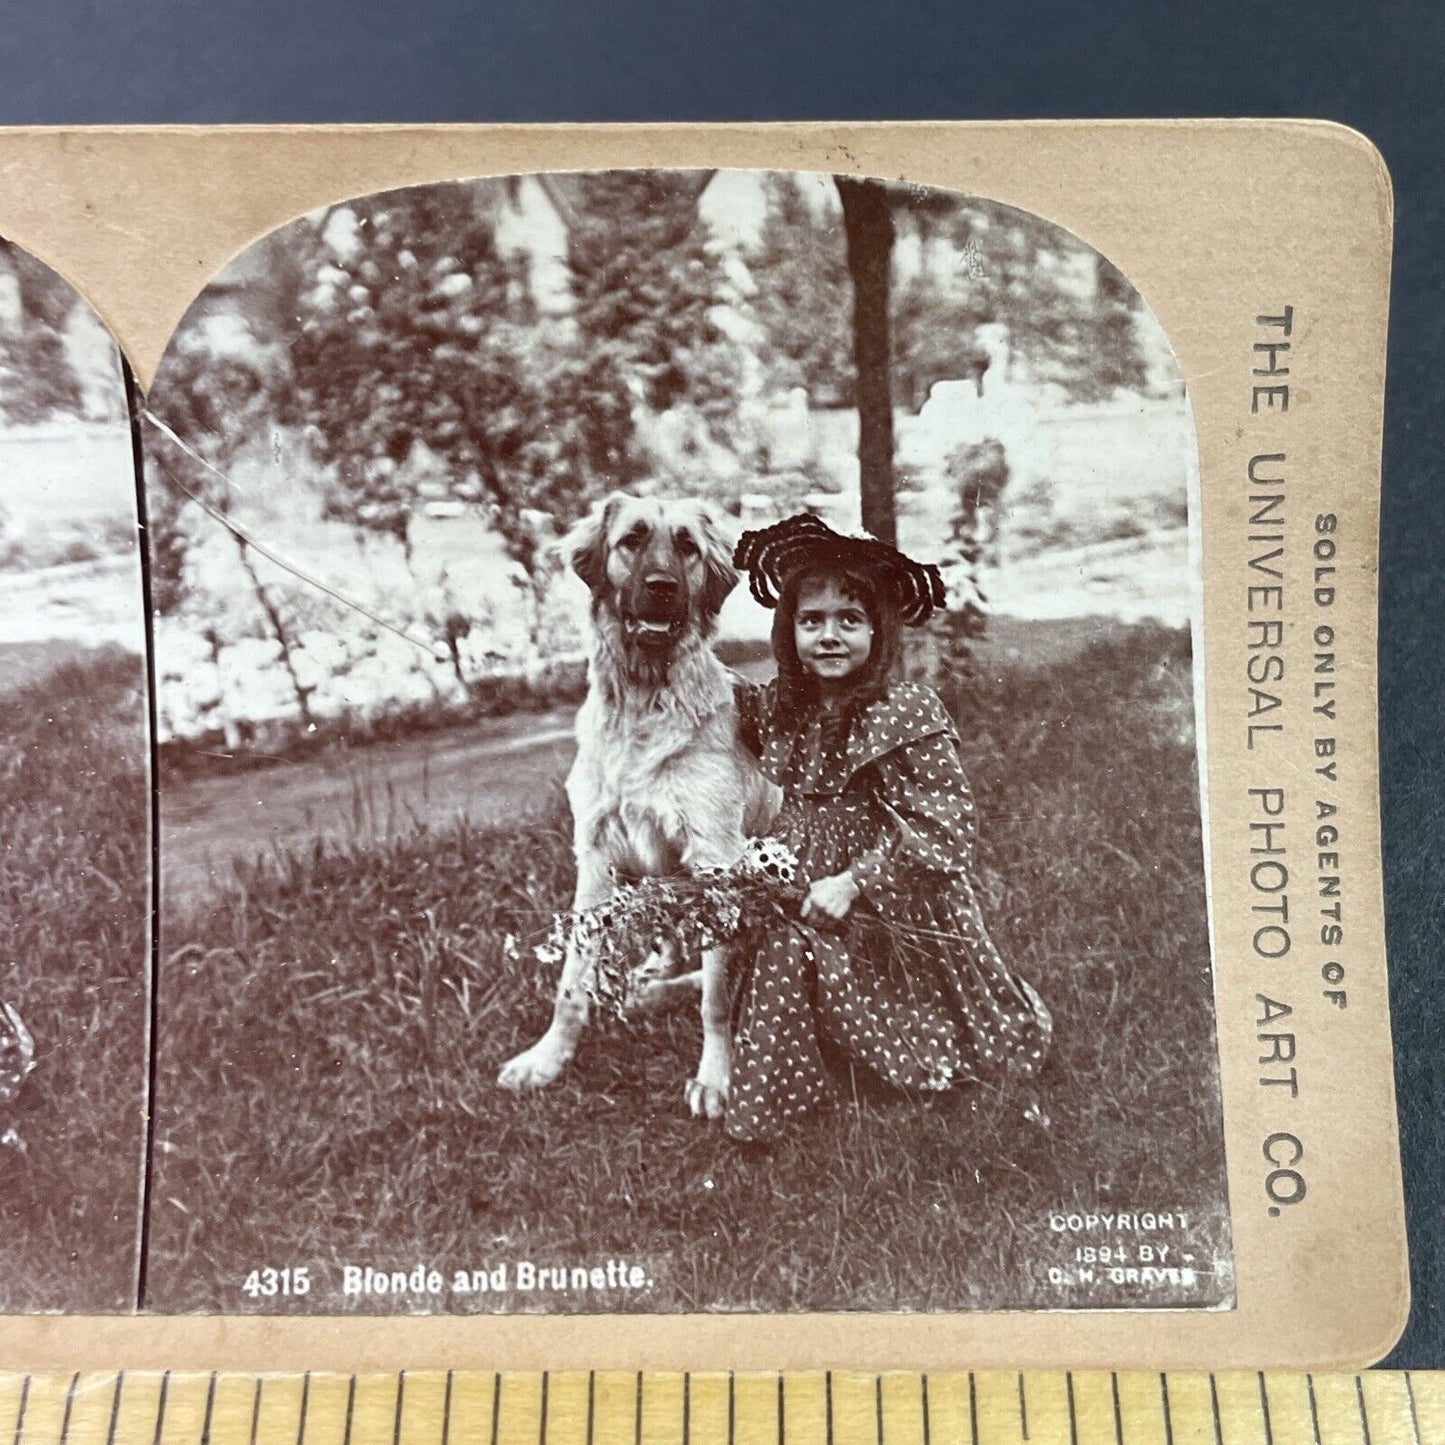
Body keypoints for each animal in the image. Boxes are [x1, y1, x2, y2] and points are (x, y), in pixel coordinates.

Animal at [499, 497, 780, 1115]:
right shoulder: (596, 858)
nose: (662, 587)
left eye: (687, 547)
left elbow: (717, 995)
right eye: (632, 539)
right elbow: (571, 981)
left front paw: (717, 1077)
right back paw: (649, 985)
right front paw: (547, 1059)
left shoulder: (717, 861)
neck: (645, 701)